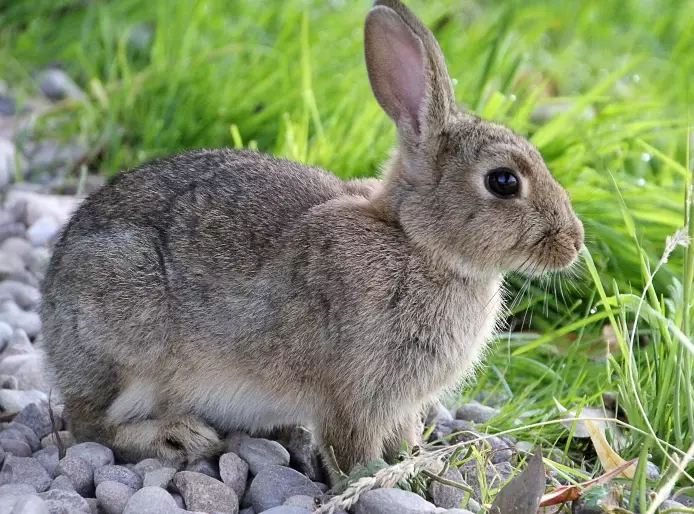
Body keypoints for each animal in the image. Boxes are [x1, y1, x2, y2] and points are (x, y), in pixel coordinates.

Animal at [40, 0, 583, 480]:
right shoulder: (353, 393)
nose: (574, 242)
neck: (416, 241)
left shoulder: (399, 402)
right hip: (124, 337)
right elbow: (352, 447)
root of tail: (50, 311)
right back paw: (176, 437)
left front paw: (416, 463)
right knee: (90, 425)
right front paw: (378, 480)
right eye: (504, 182)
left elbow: (403, 434)